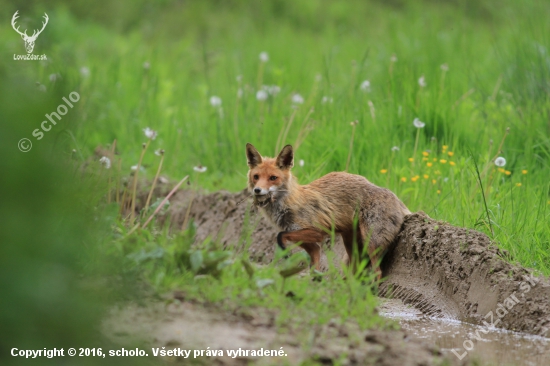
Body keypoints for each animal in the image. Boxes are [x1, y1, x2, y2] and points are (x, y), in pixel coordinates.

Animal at [248, 144, 412, 280]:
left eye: (273, 178)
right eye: (256, 177)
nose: (257, 190)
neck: (289, 204)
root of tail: (395, 196)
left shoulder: (317, 232)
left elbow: (280, 235)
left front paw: (285, 254)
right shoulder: (310, 243)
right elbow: (314, 266)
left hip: (370, 241)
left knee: (377, 272)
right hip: (350, 241)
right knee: (356, 268)